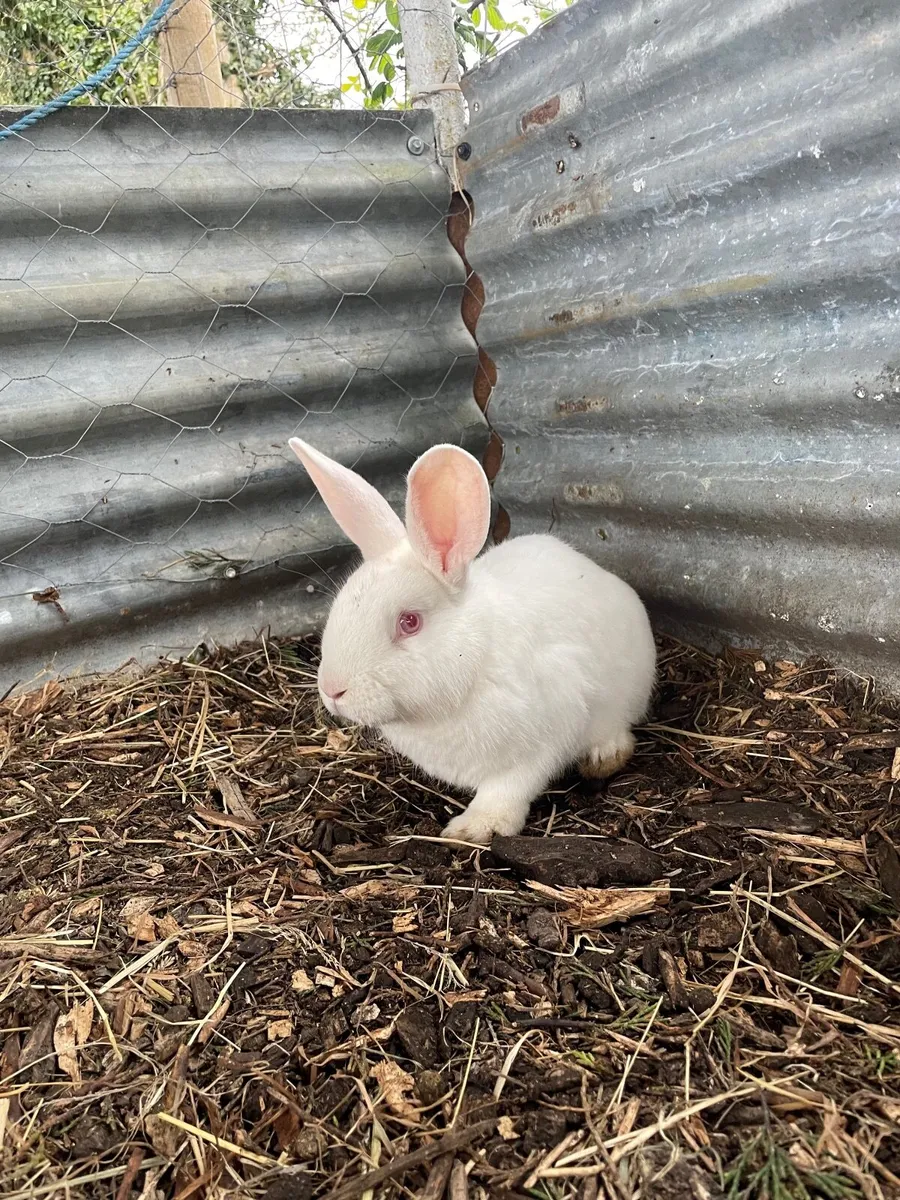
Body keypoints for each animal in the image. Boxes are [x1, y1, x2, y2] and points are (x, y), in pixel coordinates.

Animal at [289, 436, 656, 845]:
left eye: (409, 622)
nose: (332, 690)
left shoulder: (545, 737)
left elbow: (509, 788)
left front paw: (475, 827)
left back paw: (604, 756)